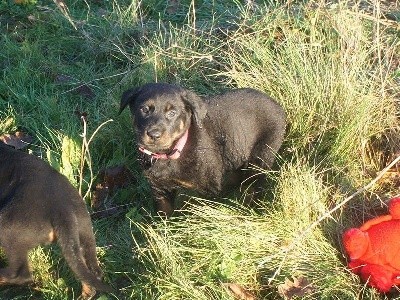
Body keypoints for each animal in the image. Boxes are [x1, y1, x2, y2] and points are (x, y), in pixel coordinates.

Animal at [120, 82, 286, 216]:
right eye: (144, 109)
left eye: (172, 113)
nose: (154, 134)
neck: (169, 153)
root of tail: (278, 106)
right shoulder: (159, 190)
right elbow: (164, 216)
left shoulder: (209, 187)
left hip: (262, 153)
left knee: (255, 182)